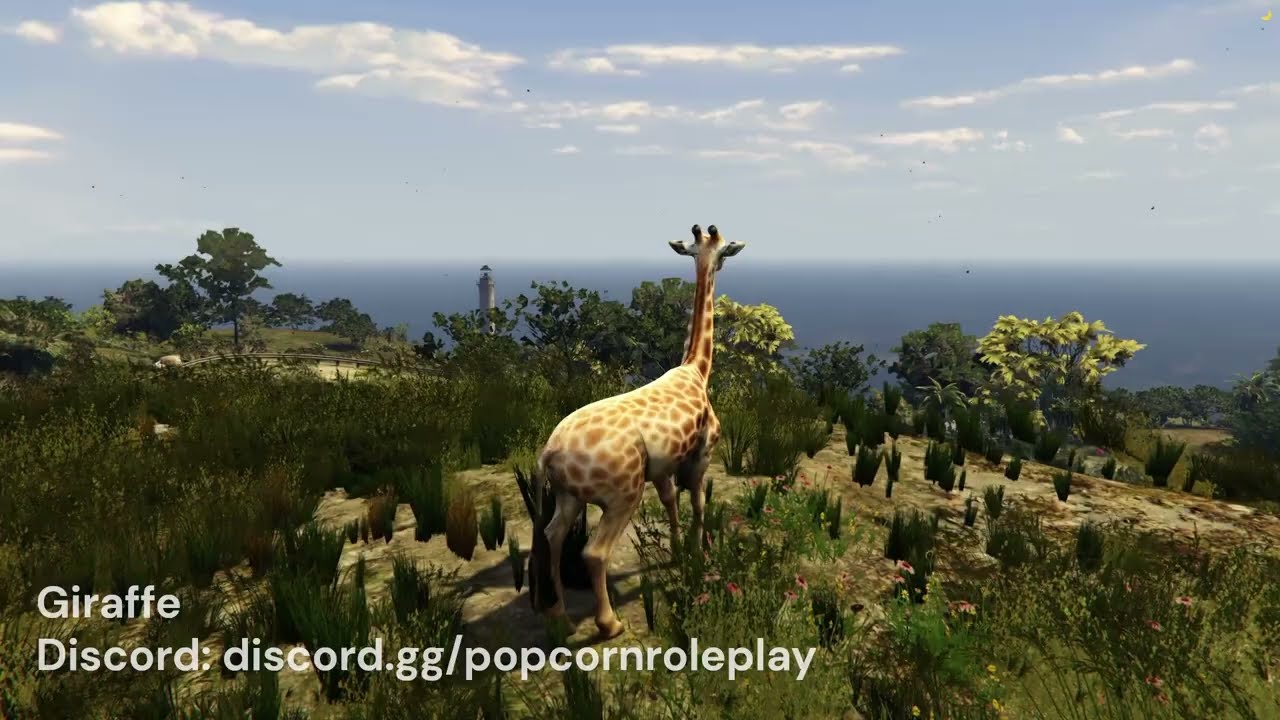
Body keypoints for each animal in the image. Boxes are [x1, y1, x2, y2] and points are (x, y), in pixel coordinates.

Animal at [536, 223, 744, 639]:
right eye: (722, 252)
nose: (722, 264)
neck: (697, 369)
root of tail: (549, 454)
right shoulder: (703, 453)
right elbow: (698, 503)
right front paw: (698, 554)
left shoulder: (662, 467)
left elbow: (670, 504)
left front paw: (677, 554)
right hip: (622, 495)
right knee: (593, 552)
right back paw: (609, 624)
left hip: (568, 495)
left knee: (553, 536)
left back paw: (559, 616)